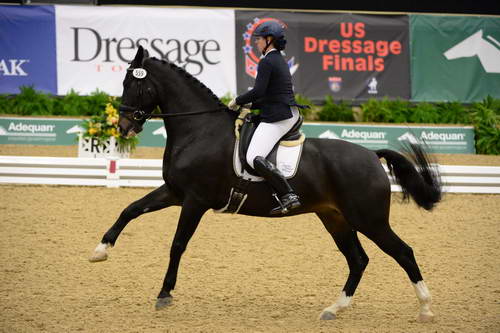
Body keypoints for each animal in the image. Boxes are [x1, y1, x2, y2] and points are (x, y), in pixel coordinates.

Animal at [90, 45, 442, 320]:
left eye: (133, 85)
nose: (123, 126)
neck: (199, 130)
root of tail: (371, 154)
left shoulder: (194, 200)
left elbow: (178, 244)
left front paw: (164, 294)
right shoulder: (175, 192)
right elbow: (130, 209)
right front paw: (100, 251)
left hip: (368, 219)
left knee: (403, 252)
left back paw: (425, 308)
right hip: (335, 218)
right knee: (358, 260)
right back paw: (334, 309)